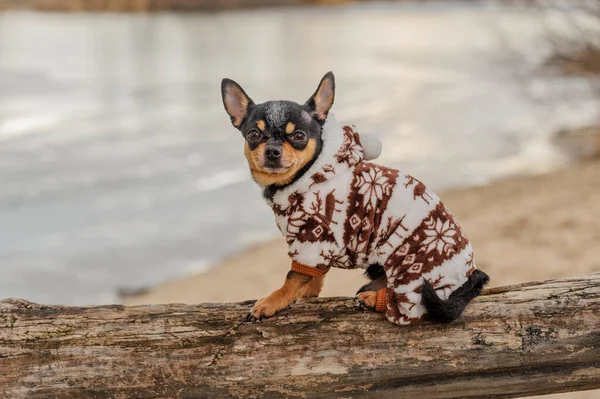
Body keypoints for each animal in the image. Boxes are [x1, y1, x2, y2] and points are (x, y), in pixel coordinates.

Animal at [220, 73, 488, 326]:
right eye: (253, 134)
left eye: (298, 136)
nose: (272, 151)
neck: (306, 175)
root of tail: (470, 276)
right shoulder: (319, 248)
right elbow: (315, 274)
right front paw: (308, 293)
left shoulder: (311, 238)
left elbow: (292, 279)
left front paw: (272, 301)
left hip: (412, 272)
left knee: (414, 308)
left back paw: (373, 299)